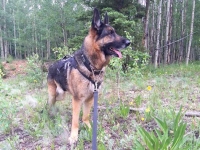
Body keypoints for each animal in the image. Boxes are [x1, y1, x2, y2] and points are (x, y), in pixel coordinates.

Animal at [47, 8, 130, 144]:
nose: (129, 42)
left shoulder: (90, 98)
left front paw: (90, 128)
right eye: (110, 33)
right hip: (54, 94)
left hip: (61, 94)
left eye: (115, 32)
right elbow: (75, 120)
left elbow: (85, 116)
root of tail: (51, 65)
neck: (91, 65)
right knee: (50, 103)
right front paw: (73, 136)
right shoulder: (77, 100)